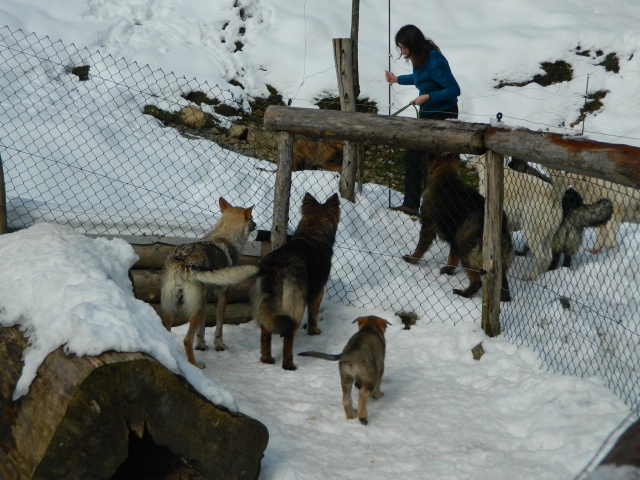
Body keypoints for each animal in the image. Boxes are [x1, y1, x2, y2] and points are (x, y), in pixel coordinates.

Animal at [160, 197, 258, 370]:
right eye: (251, 217)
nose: (257, 225)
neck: (225, 237)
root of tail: (182, 260)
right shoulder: (223, 296)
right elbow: (219, 327)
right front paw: (219, 346)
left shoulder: (205, 299)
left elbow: (202, 330)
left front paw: (202, 345)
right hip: (194, 308)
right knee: (187, 340)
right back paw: (196, 364)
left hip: (171, 306)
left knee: (169, 332)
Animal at [251, 192, 342, 372]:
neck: (313, 231)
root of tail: (275, 268)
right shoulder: (317, 290)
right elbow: (313, 314)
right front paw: (314, 332)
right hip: (296, 306)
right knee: (288, 337)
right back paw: (289, 365)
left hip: (265, 307)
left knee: (265, 333)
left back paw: (267, 359)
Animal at [404, 152, 516, 302]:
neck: (445, 175)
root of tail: (501, 226)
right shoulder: (454, 238)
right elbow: (452, 257)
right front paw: (449, 270)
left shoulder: (428, 226)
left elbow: (420, 247)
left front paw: (412, 259)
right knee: (502, 286)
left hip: (466, 249)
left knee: (477, 281)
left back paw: (464, 293)